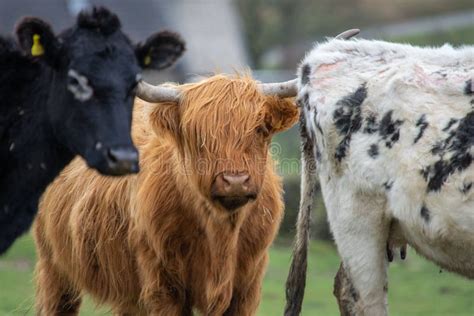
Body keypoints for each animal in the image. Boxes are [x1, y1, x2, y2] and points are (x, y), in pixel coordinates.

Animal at [35, 75, 298, 314]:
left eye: (260, 129)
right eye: (198, 135)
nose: (235, 181)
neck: (221, 232)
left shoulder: (246, 288)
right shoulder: (164, 286)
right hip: (54, 266)